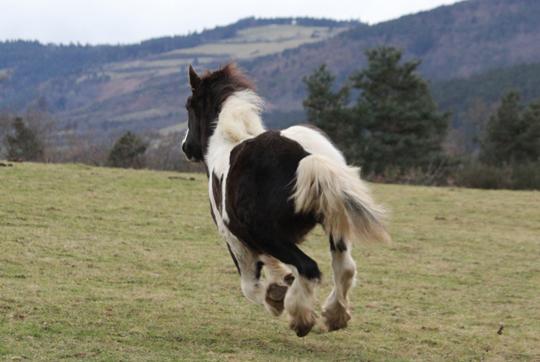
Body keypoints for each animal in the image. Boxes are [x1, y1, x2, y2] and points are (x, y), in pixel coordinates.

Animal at [184, 62, 390, 336]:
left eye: (188, 106)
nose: (185, 147)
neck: (226, 145)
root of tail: (306, 155)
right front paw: (281, 282)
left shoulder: (235, 238)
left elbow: (250, 286)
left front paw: (276, 297)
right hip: (334, 219)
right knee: (345, 267)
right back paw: (335, 316)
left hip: (269, 233)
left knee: (309, 267)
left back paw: (300, 318)